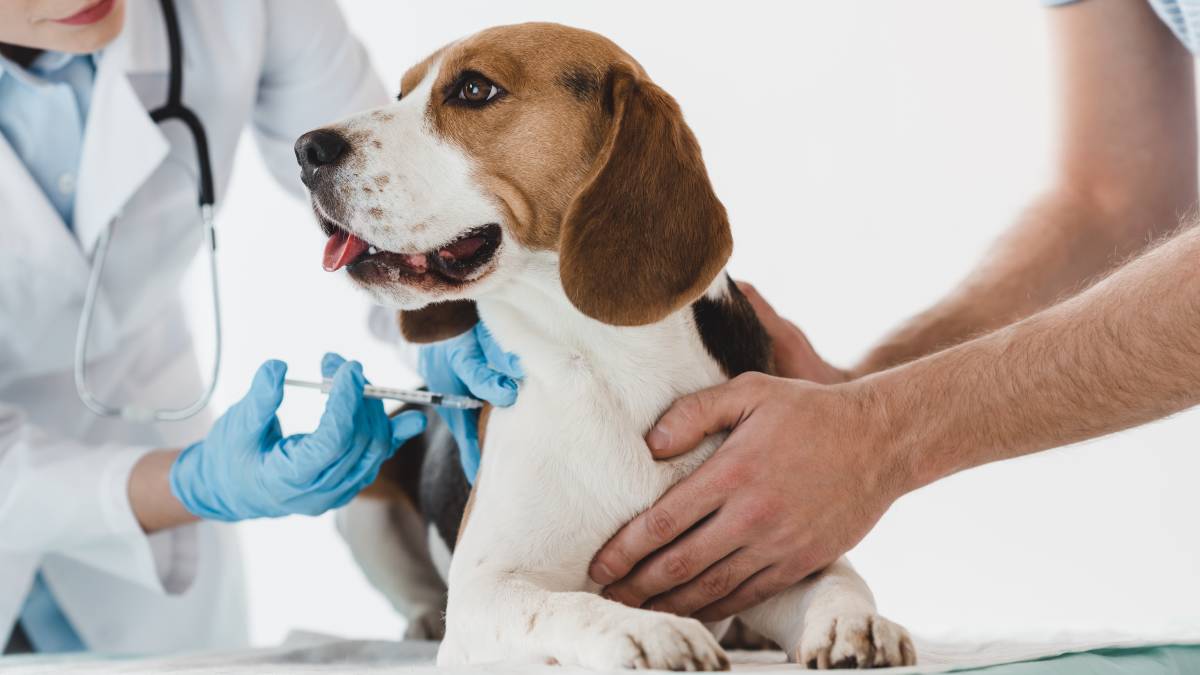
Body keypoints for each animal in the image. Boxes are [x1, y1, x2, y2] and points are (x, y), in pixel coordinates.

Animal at [295, 23, 912, 667]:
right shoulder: (484, 593)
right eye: (401, 92)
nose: (306, 149)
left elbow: (838, 581)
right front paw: (651, 629)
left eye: (473, 89)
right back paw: (419, 620)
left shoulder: (771, 541)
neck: (606, 367)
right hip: (364, 500)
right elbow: (568, 606)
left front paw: (854, 623)